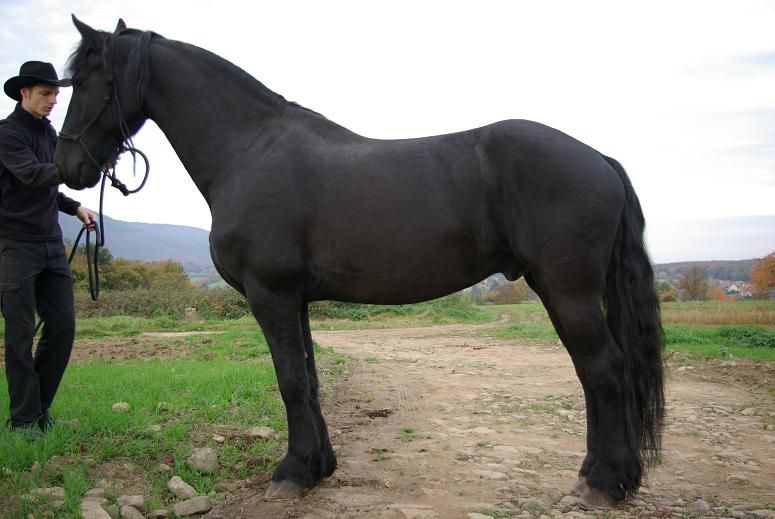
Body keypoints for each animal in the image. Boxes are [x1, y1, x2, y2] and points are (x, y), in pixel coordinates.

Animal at [55, 17, 664, 507]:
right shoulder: (294, 299)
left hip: (569, 290)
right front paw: (318, 467)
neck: (249, 151)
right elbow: (308, 377)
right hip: (556, 289)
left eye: (83, 81)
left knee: (604, 370)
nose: (67, 166)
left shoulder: (270, 293)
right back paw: (598, 474)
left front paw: (292, 473)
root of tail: (598, 158)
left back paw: (604, 483)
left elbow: (289, 380)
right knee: (593, 375)